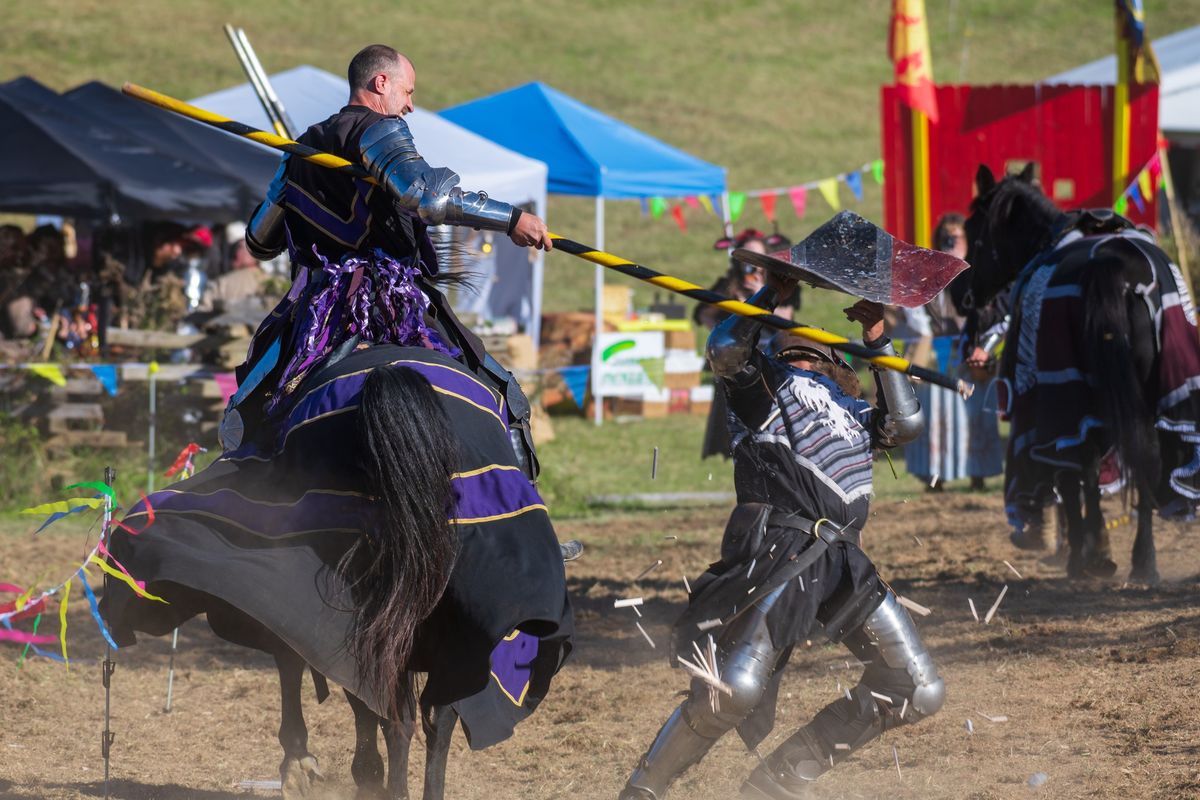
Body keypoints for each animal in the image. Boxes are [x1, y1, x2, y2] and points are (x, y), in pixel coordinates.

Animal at [955, 165, 1200, 585]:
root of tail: (1116, 270)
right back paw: (1144, 561)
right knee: (1146, 458)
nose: (962, 295)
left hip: (1071, 397)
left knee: (1082, 465)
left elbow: (1075, 478)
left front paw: (1086, 551)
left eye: (973, 229)